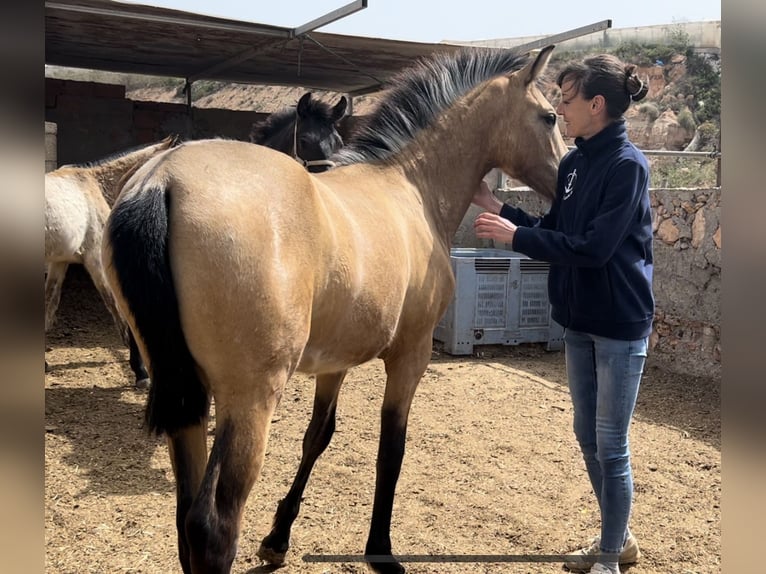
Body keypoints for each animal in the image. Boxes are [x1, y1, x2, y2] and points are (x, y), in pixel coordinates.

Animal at [103, 46, 568, 574]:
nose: (565, 177)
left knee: (185, 520)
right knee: (212, 526)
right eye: (549, 116)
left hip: (187, 397)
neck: (411, 187)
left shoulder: (335, 363)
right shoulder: (410, 358)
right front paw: (380, 551)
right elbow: (392, 450)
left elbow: (317, 436)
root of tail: (162, 180)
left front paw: (278, 538)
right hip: (250, 399)